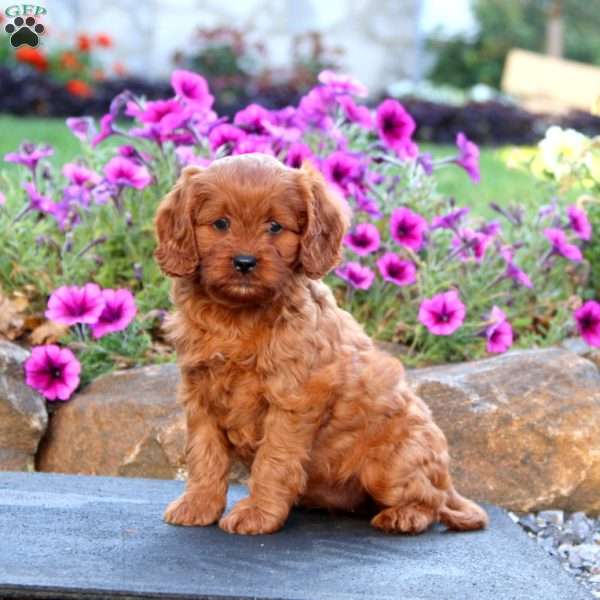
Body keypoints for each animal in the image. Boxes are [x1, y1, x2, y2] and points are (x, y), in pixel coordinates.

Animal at [155, 154, 488, 536]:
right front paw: (198, 505)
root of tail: (447, 477)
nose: (244, 262)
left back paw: (405, 516)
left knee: (431, 500)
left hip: (391, 466)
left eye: (275, 227)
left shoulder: (292, 399)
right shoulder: (200, 395)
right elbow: (204, 454)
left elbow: (274, 460)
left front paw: (258, 514)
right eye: (221, 223)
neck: (238, 317)